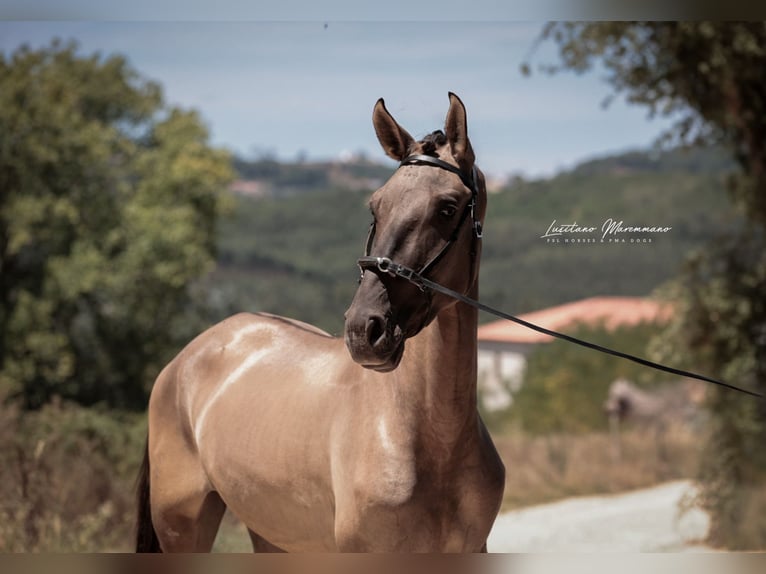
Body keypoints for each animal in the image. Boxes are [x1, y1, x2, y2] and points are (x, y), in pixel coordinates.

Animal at [134, 93, 505, 552]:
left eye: (447, 207)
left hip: (271, 533)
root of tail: (180, 364)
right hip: (182, 528)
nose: (364, 329)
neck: (430, 441)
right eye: (375, 206)